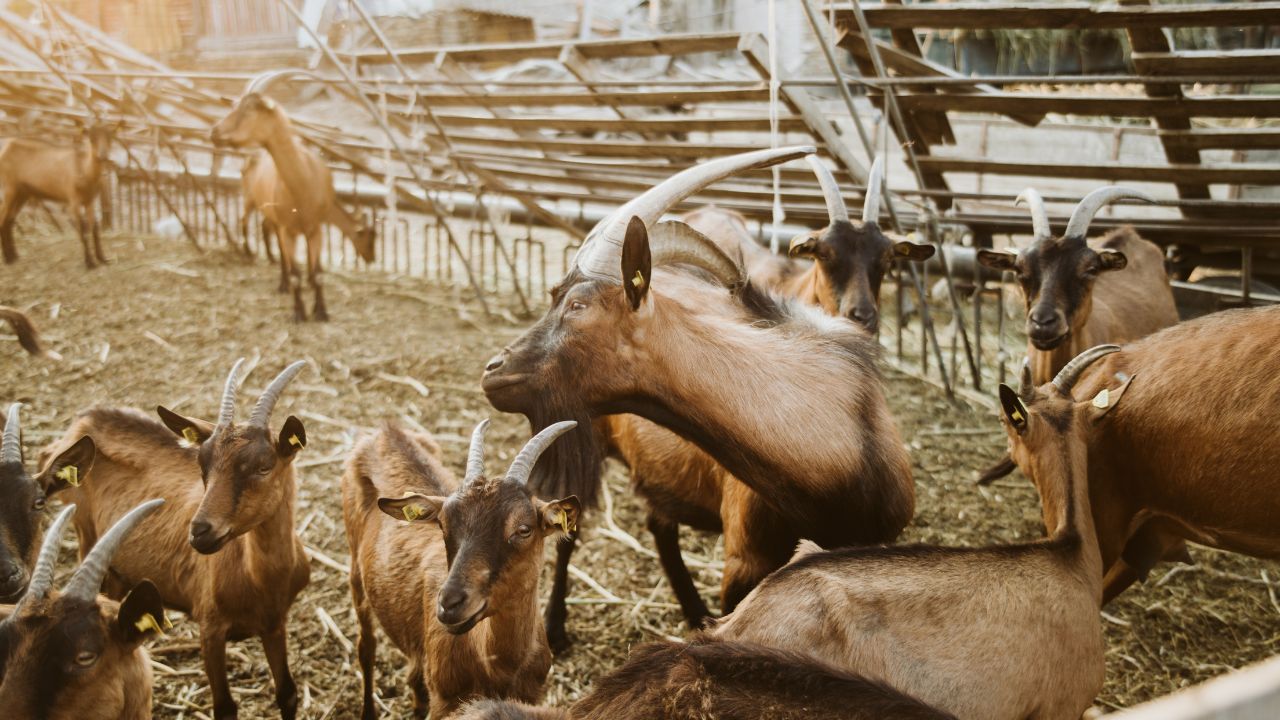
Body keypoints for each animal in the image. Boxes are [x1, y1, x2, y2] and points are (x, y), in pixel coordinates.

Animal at [0, 123, 117, 269]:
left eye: (110, 137)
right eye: (92, 138)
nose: (103, 155)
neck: (84, 170)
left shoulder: (89, 201)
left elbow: (94, 229)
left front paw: (102, 258)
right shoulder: (73, 201)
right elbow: (82, 231)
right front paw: (90, 263)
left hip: (22, 192)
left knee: (9, 220)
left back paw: (14, 256)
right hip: (9, 187)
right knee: (3, 218)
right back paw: (8, 259)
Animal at [40, 359, 311, 720]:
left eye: (264, 466)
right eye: (202, 464)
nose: (200, 532)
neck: (260, 577)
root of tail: (83, 420)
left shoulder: (275, 622)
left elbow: (287, 694)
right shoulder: (210, 630)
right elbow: (225, 707)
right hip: (85, 532)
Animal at [211, 71, 376, 321]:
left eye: (248, 110)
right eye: (368, 237)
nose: (214, 132)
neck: (302, 182)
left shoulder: (315, 229)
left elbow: (317, 272)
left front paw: (321, 311)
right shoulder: (288, 229)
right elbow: (296, 270)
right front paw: (299, 312)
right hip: (255, 203)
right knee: (256, 230)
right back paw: (274, 275)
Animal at [344, 419, 579, 719]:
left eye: (524, 529)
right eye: (443, 524)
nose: (449, 604)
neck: (497, 665)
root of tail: (385, 431)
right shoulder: (444, 702)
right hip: (355, 570)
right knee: (366, 647)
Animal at [482, 146, 914, 649]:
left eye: (576, 305)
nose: (494, 369)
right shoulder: (743, 560)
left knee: (657, 524)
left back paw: (691, 609)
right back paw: (556, 626)